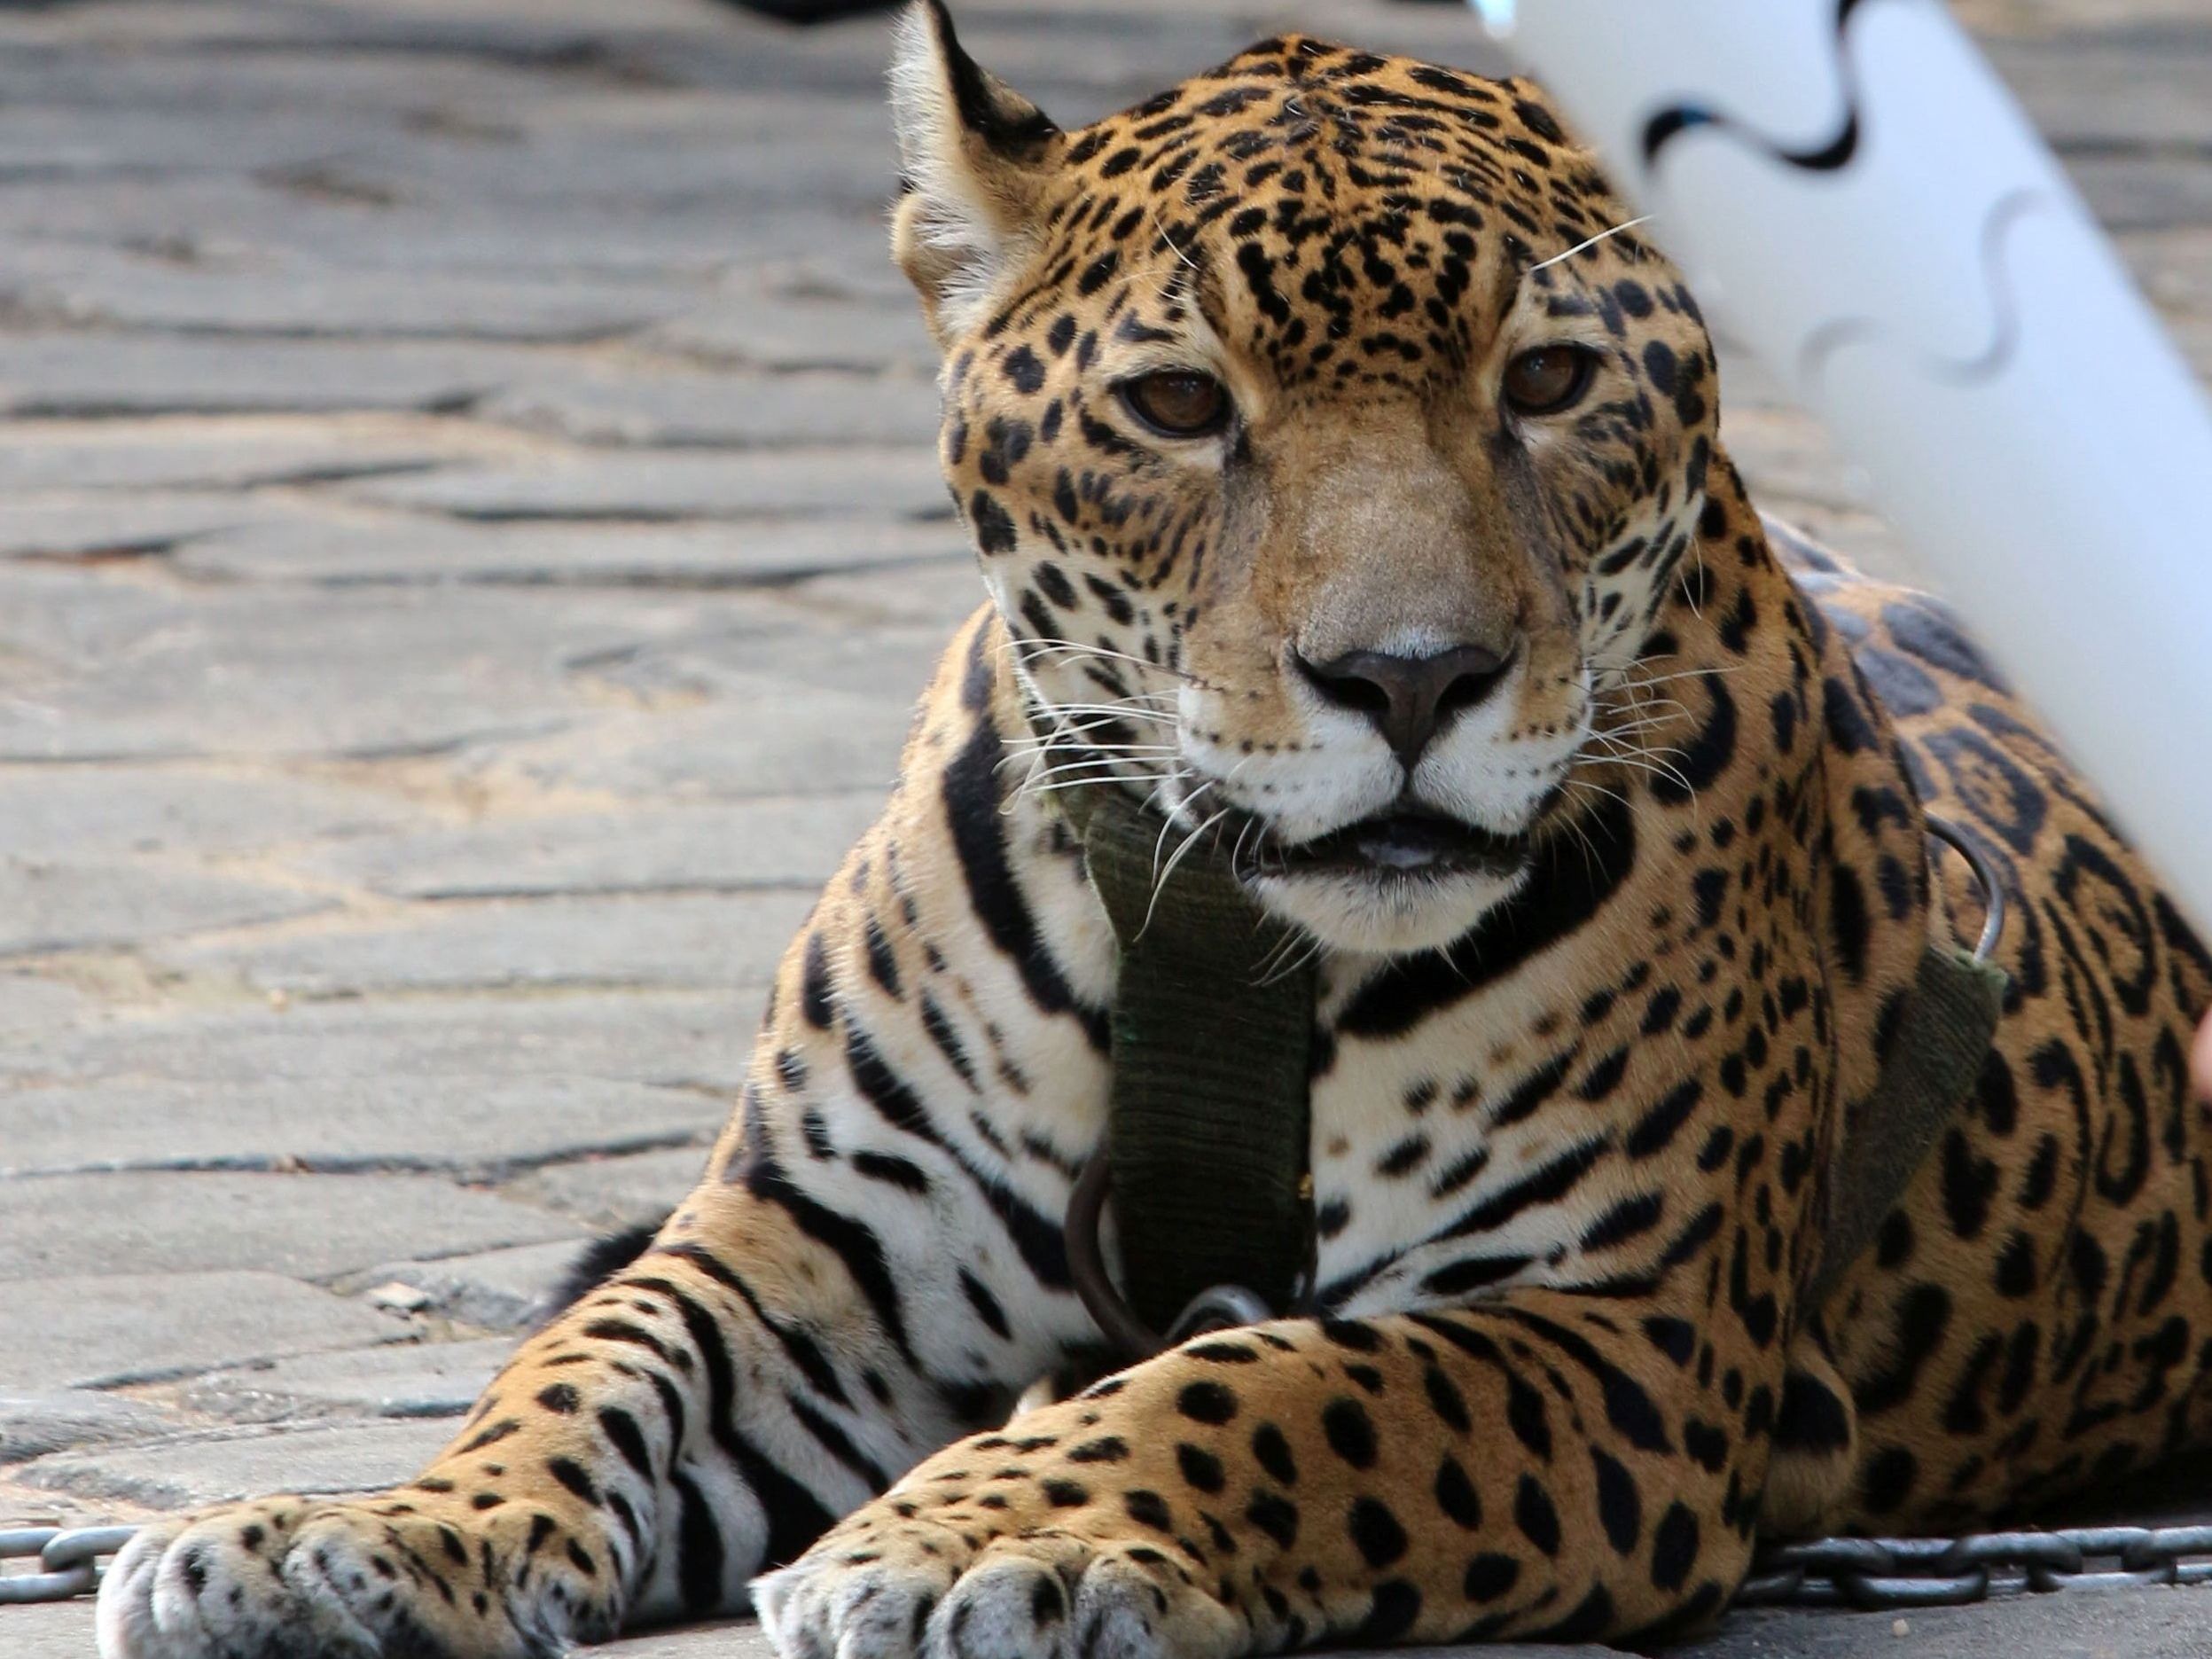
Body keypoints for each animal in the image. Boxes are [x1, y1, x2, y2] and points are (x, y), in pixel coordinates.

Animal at [98, 5, 2212, 1655]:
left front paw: (988, 1529)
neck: (1228, 946)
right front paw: (362, 1530)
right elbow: (580, 1372)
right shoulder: (815, 1242)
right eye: (1182, 406)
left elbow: (1272, 1382)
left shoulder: (1617, 1325)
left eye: (1546, 382)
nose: (1410, 678)